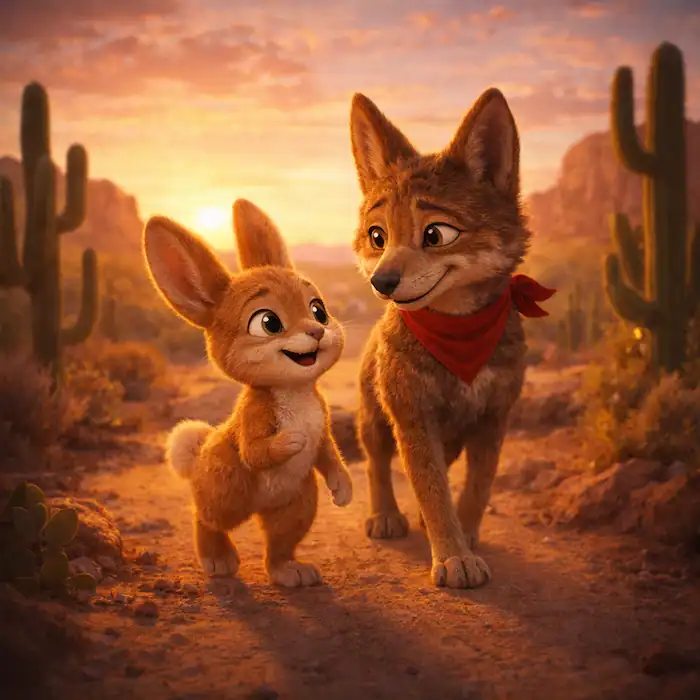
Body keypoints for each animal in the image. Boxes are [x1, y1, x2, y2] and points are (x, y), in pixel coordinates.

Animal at [142, 199, 353, 587]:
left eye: (318, 309)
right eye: (268, 322)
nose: (317, 331)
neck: (294, 391)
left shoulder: (324, 425)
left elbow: (329, 454)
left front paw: (343, 491)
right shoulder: (255, 416)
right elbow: (256, 452)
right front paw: (293, 440)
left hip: (296, 505)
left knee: (279, 544)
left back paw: (292, 571)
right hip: (223, 495)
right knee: (205, 518)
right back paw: (218, 560)